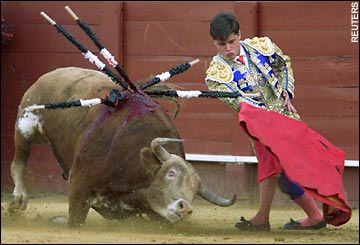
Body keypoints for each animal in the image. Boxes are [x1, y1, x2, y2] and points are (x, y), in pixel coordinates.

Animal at [9, 67, 236, 228]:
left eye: (195, 189)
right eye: (170, 174)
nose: (185, 207)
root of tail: (52, 74)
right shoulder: (78, 186)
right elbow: (76, 222)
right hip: (26, 123)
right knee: (18, 160)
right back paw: (18, 199)